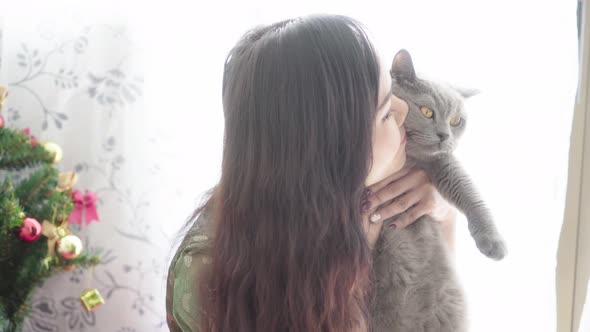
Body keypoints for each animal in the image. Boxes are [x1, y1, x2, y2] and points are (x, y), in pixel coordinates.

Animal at [370, 50, 508, 332]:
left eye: (456, 121)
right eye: (426, 111)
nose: (445, 135)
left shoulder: (442, 164)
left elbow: (469, 191)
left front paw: (493, 242)